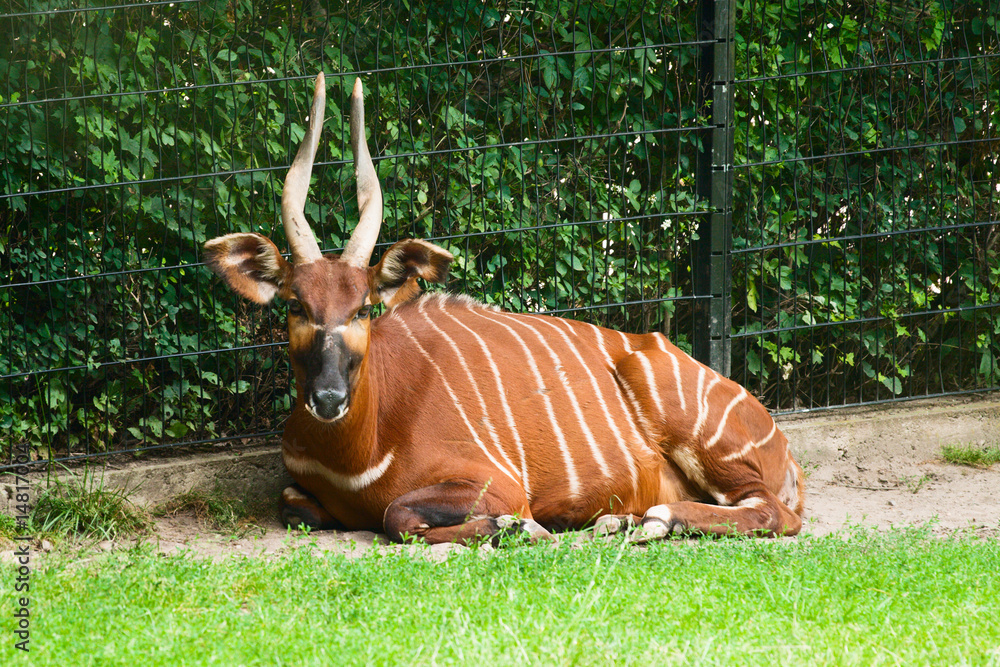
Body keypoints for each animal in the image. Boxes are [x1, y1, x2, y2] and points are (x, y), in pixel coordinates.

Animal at [203, 73, 805, 545]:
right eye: (296, 306)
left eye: (362, 310)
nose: (328, 398)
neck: (357, 452)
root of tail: (785, 451)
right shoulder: (300, 490)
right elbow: (296, 505)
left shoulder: (498, 484)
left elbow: (400, 515)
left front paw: (515, 527)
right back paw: (620, 523)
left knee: (772, 512)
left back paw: (655, 521)